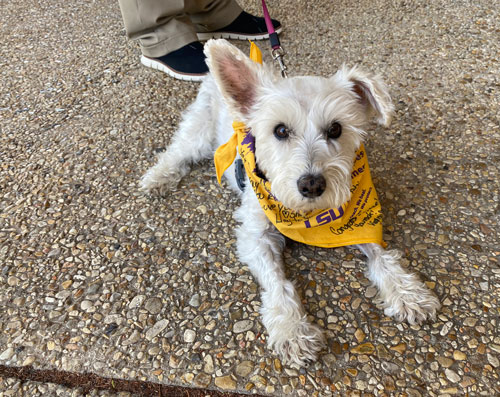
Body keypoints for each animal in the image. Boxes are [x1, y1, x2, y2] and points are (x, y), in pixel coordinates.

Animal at [139, 39, 440, 366]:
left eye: (336, 129)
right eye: (280, 130)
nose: (312, 184)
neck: (307, 217)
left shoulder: (359, 223)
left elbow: (381, 256)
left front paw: (407, 292)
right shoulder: (255, 236)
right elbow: (277, 282)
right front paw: (292, 330)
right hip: (198, 130)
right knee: (176, 151)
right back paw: (158, 178)